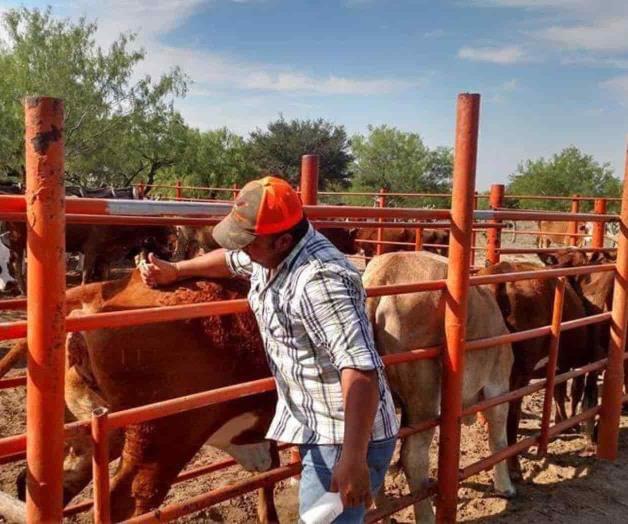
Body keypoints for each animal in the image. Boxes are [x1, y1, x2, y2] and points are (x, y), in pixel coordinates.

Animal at [364, 252, 516, 520]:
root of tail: (382, 275)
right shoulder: (497, 384)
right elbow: (498, 437)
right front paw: (505, 486)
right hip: (424, 393)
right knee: (413, 457)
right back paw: (425, 515)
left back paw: (384, 512)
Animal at [478, 260, 600, 476]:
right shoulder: (578, 363)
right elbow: (573, 392)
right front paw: (570, 422)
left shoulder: (561, 366)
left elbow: (559, 392)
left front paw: (562, 422)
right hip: (518, 375)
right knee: (512, 413)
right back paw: (513, 465)